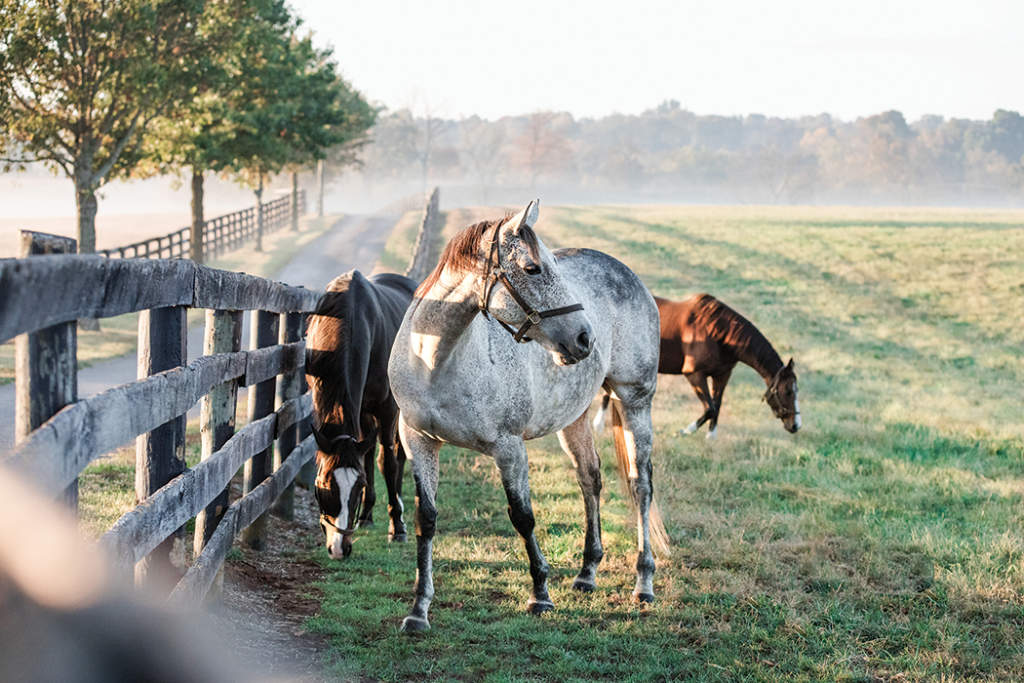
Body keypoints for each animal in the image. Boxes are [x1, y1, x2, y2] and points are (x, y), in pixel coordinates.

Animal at [304, 270, 417, 560]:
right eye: (324, 486)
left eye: (358, 487)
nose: (339, 549)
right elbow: (366, 458)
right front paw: (368, 514)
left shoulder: (387, 409)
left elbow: (387, 463)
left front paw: (397, 526)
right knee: (368, 452)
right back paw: (367, 515)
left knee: (398, 454)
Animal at [388, 200, 670, 632]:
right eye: (533, 268)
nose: (585, 338)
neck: (435, 360)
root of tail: (627, 272)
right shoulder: (419, 442)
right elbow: (427, 519)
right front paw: (419, 609)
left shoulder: (508, 449)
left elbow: (523, 517)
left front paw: (540, 593)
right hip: (574, 417)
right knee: (590, 478)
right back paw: (587, 572)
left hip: (635, 400)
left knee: (640, 485)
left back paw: (644, 581)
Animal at [592, 293, 800, 439]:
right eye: (788, 392)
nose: (795, 425)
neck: (718, 333)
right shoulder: (694, 374)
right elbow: (709, 408)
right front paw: (686, 430)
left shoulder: (722, 375)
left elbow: (717, 404)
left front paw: (711, 436)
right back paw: (598, 425)